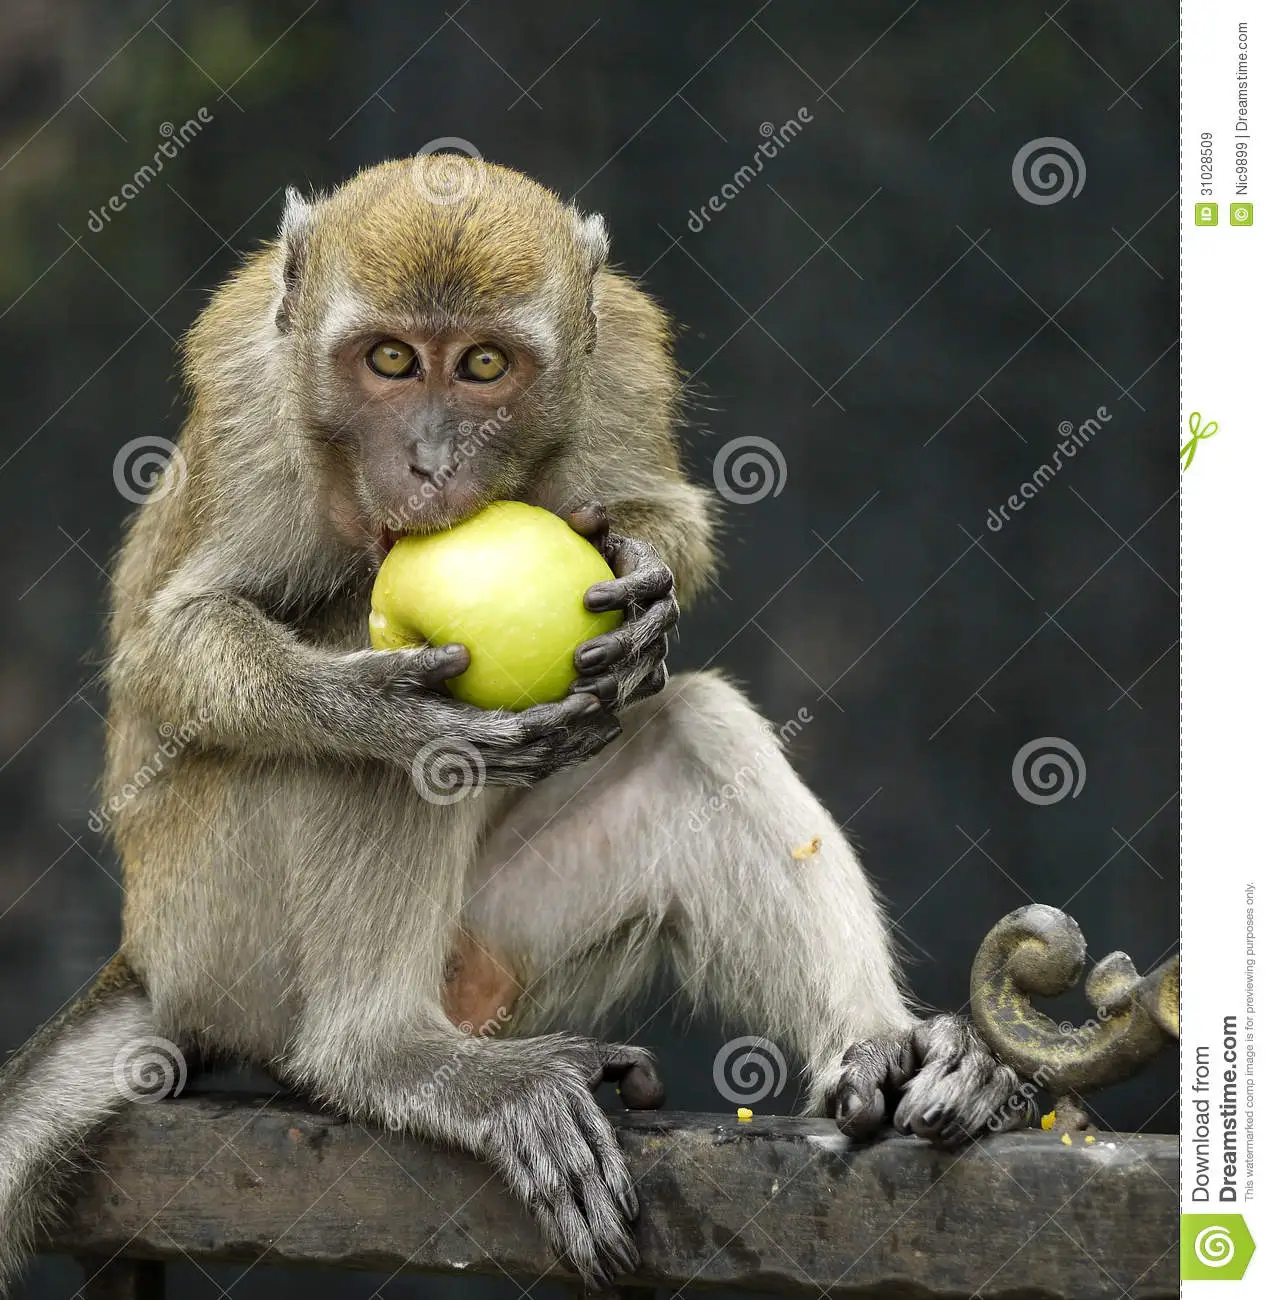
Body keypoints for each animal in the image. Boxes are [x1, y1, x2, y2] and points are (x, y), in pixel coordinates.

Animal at [0, 157, 1025, 1294]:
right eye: (391, 360)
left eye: (482, 365)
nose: (429, 461)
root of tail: (148, 955)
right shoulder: (253, 412)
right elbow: (171, 652)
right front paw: (379, 710)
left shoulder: (617, 366)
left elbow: (661, 519)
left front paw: (642, 581)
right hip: (216, 924)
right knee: (369, 716)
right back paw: (389, 1054)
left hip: (495, 944)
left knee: (693, 725)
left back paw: (887, 1050)